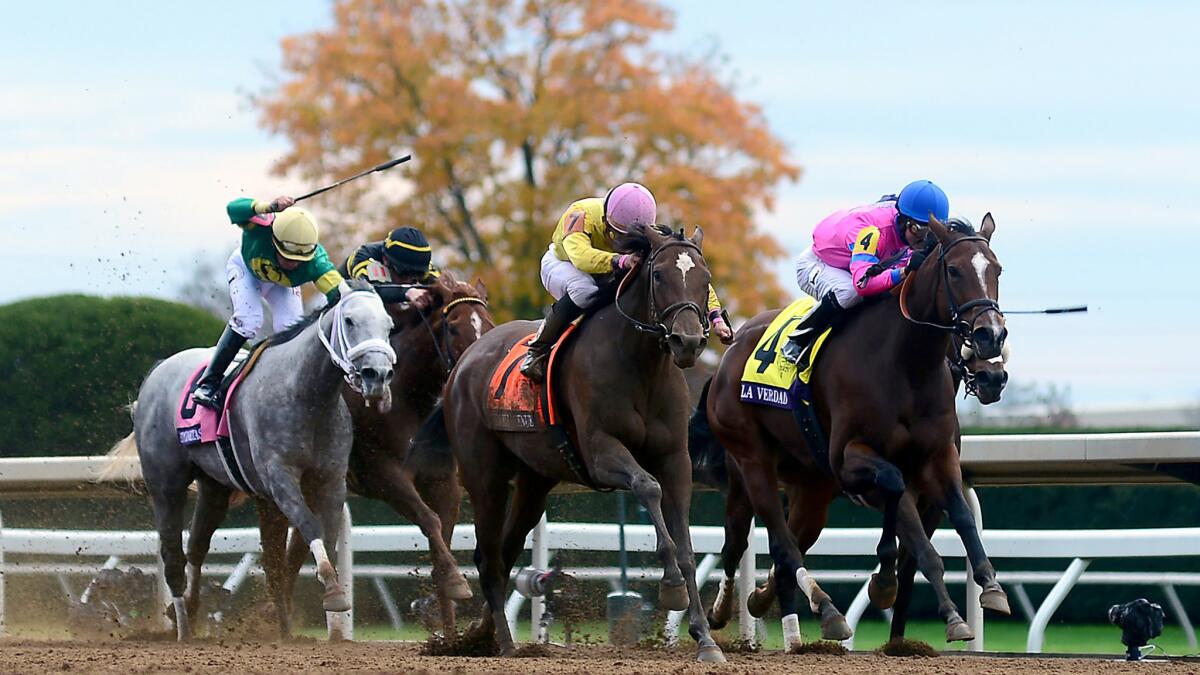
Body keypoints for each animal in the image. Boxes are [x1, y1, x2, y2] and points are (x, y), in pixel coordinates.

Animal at [108, 278, 393, 634]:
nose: (377, 375)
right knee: (173, 556)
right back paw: (183, 628)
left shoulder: (329, 479)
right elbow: (308, 525)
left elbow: (315, 541)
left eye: (389, 326)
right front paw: (331, 589)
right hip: (165, 485)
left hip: (214, 487)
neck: (306, 395)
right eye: (351, 321)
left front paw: (318, 602)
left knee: (197, 547)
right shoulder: (279, 478)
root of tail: (158, 371)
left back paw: (190, 609)